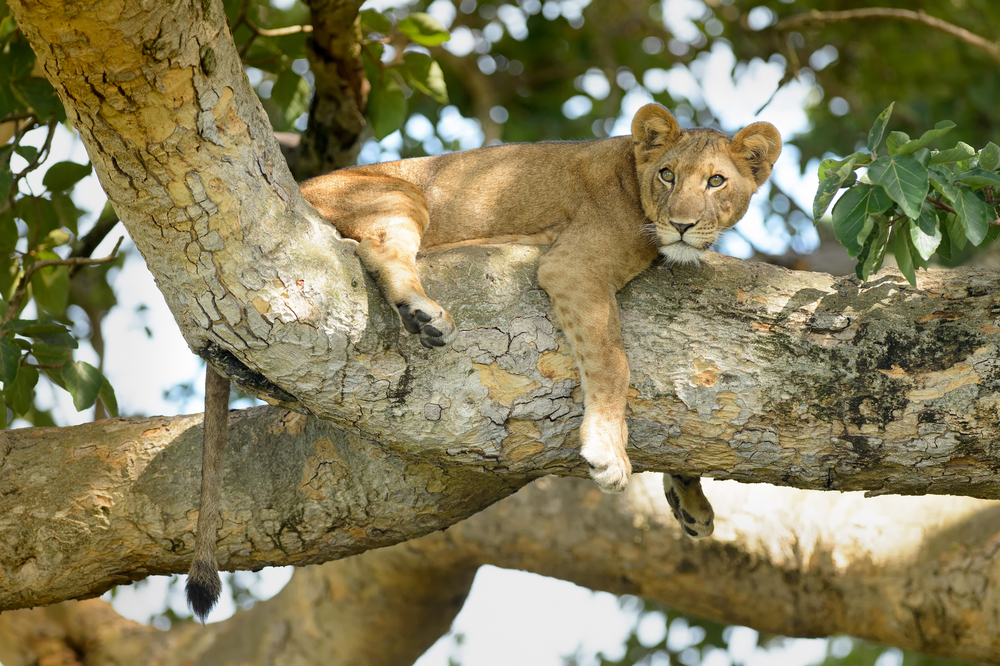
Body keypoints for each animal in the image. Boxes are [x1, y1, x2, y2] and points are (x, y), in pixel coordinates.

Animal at [185, 104, 781, 620]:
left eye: (716, 182)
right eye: (667, 175)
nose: (682, 225)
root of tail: (297, 187)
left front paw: (690, 500)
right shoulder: (573, 266)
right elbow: (614, 363)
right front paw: (609, 451)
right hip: (400, 192)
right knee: (377, 250)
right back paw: (424, 314)